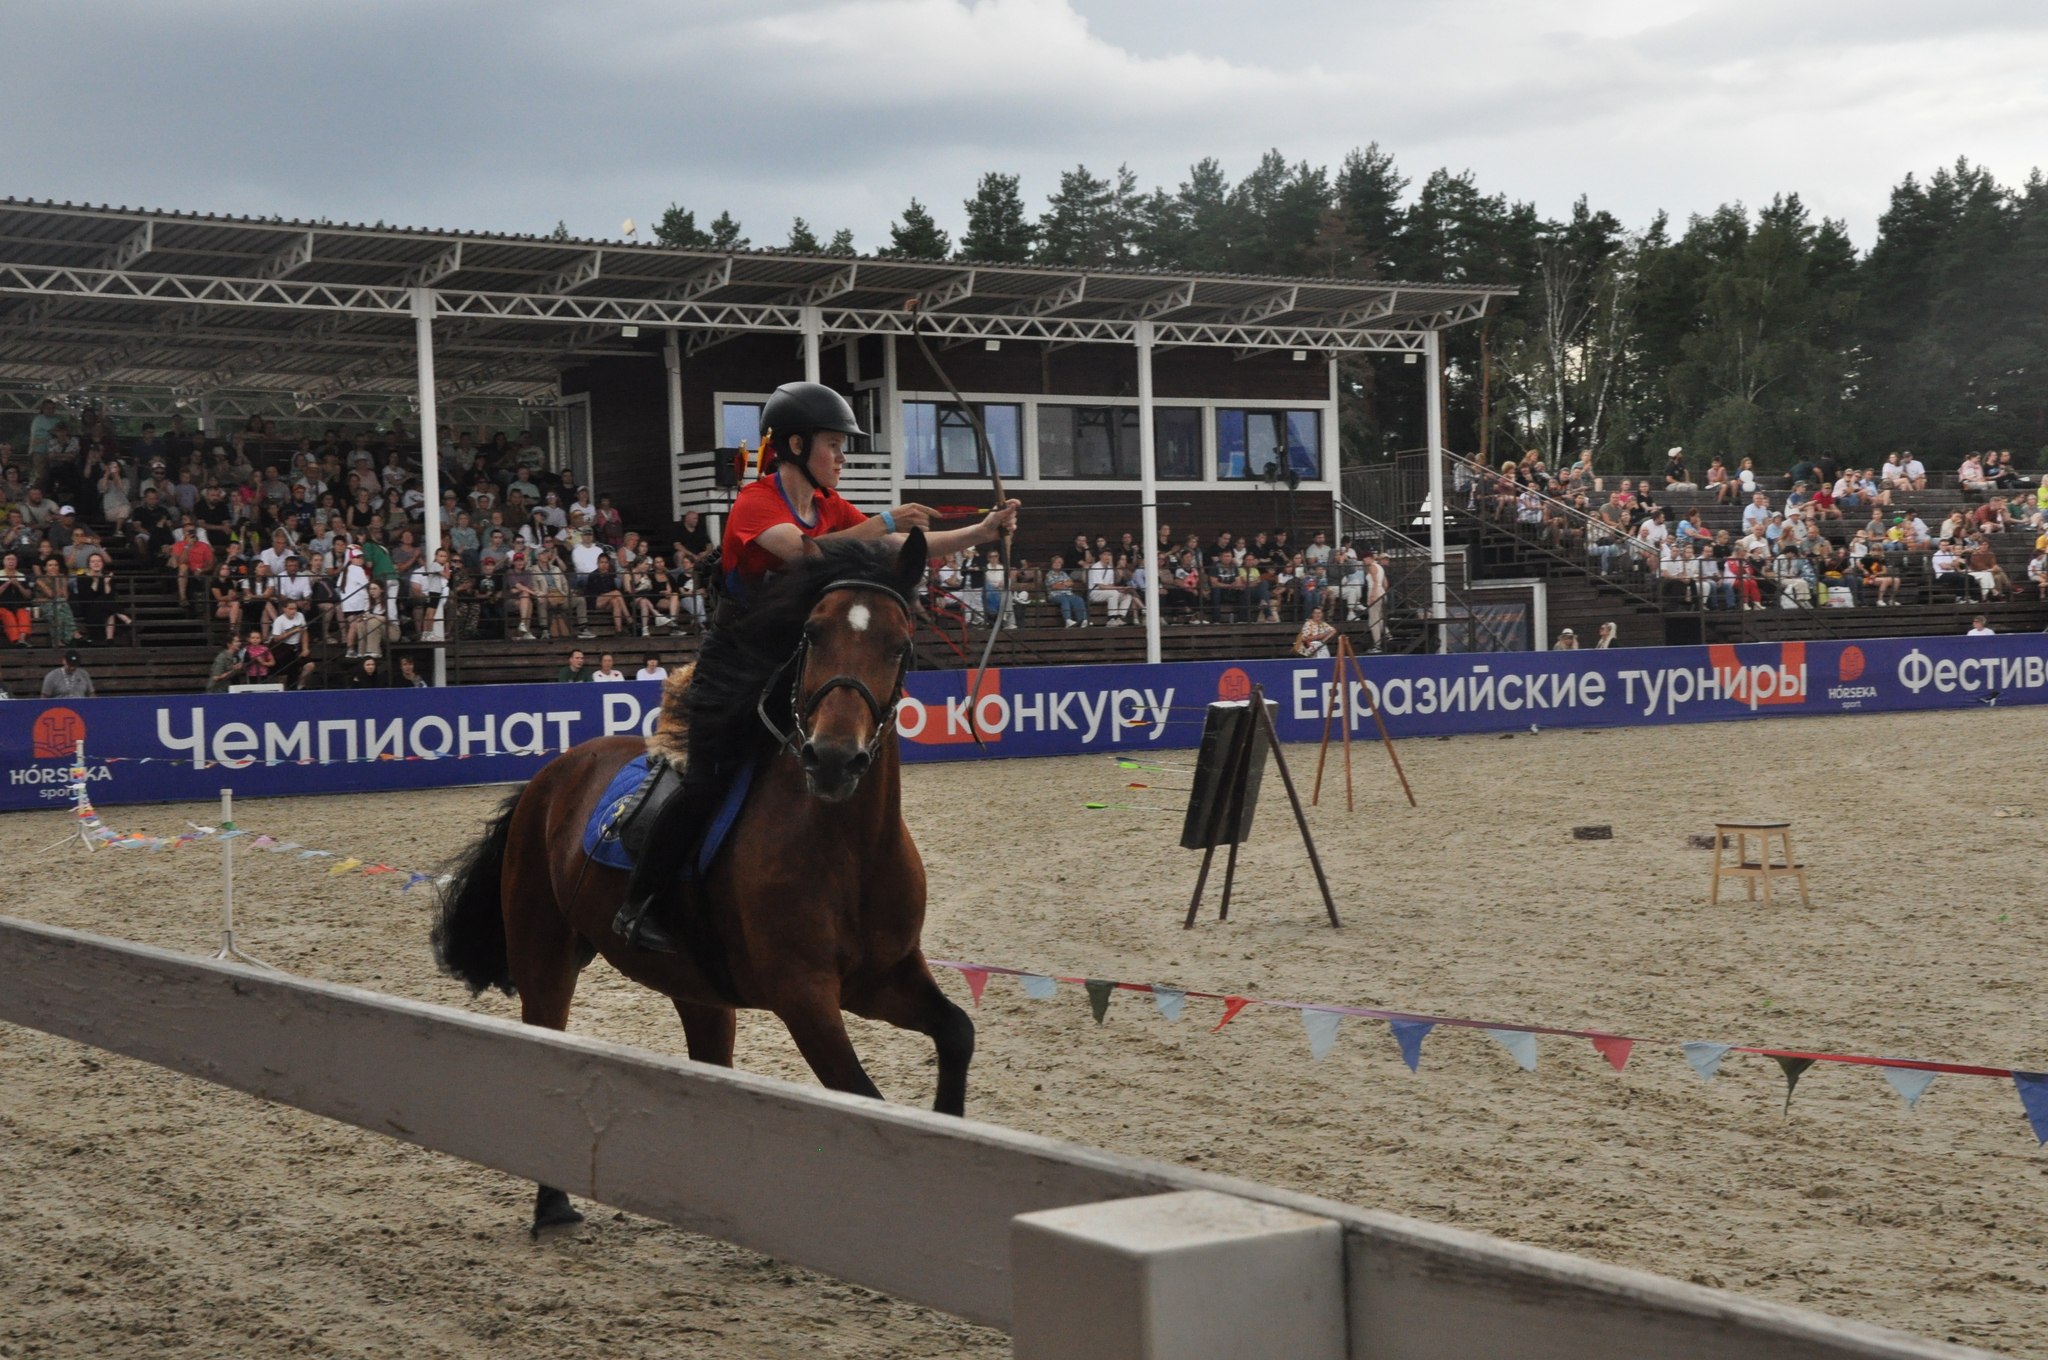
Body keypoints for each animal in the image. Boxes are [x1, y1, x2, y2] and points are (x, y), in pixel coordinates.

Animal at [428, 532, 970, 1228]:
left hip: (698, 988)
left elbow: (956, 1032)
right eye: (812, 633)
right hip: (543, 957)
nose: (832, 759)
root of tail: (551, 775)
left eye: (899, 645)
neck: (850, 852)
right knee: (546, 1039)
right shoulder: (805, 996)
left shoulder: (884, 978)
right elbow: (865, 1098)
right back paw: (553, 1205)